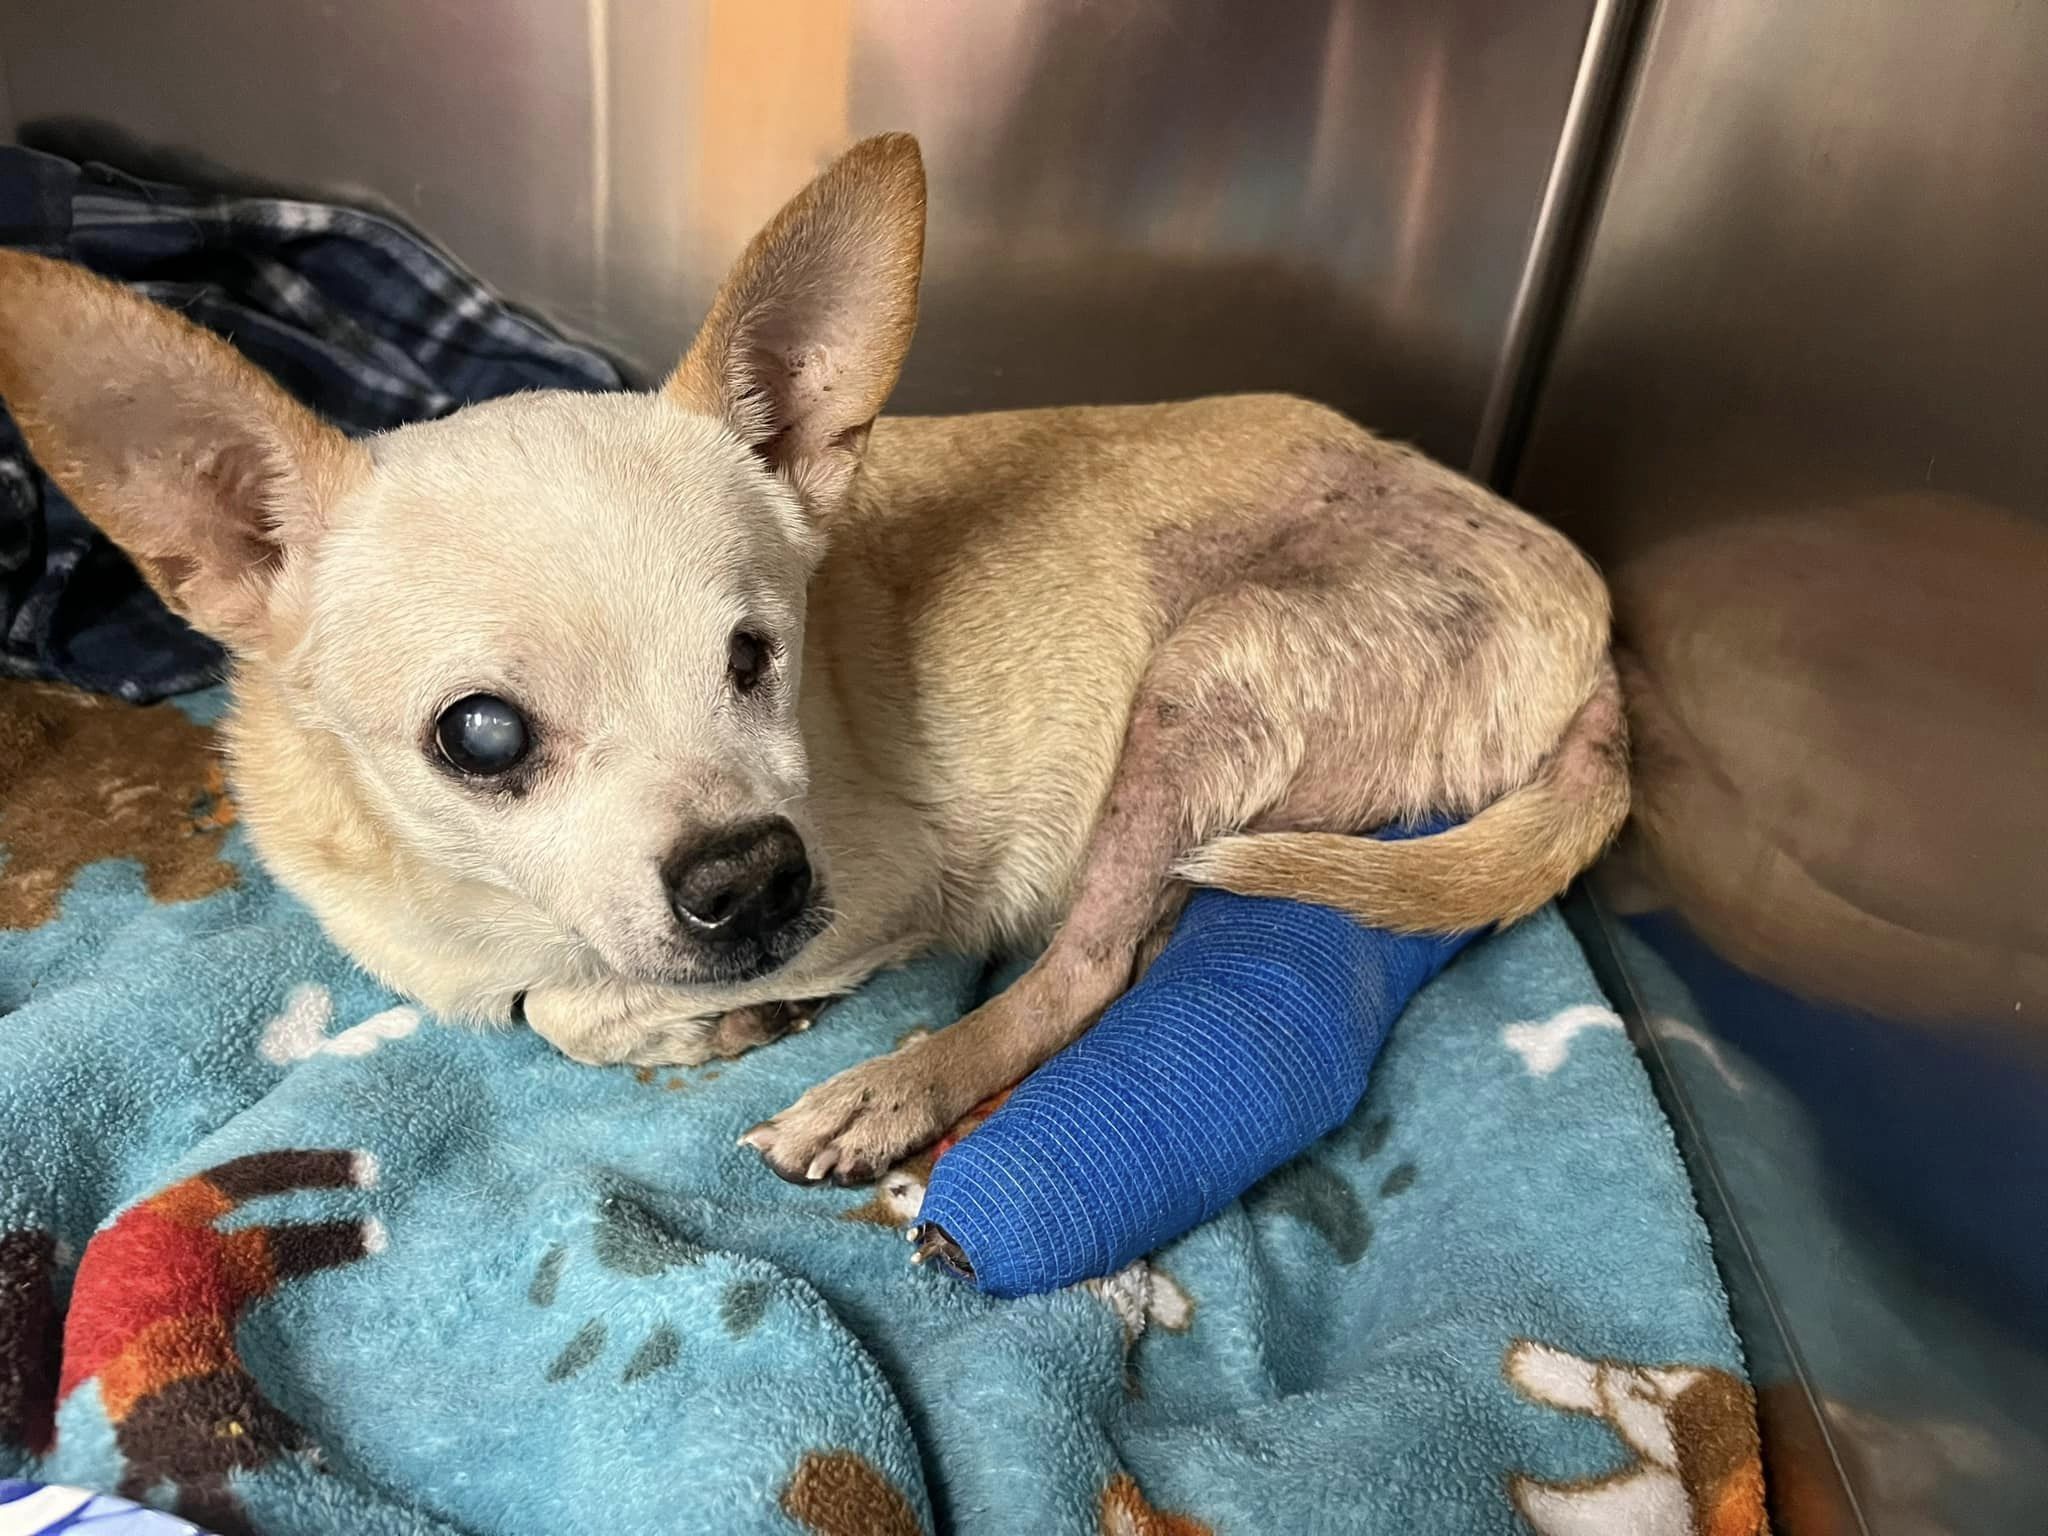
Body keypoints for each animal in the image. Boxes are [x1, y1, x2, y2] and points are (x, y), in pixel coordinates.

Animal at [4, 135, 1630, 1187]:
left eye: (754, 654)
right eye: (479, 736)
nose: (755, 880)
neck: (477, 915)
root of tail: (1588, 606)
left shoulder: (906, 894)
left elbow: (577, 1009)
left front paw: (726, 1022)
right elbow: (555, 1006)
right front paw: (673, 1014)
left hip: (1200, 679)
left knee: (1096, 963)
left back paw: (892, 1091)